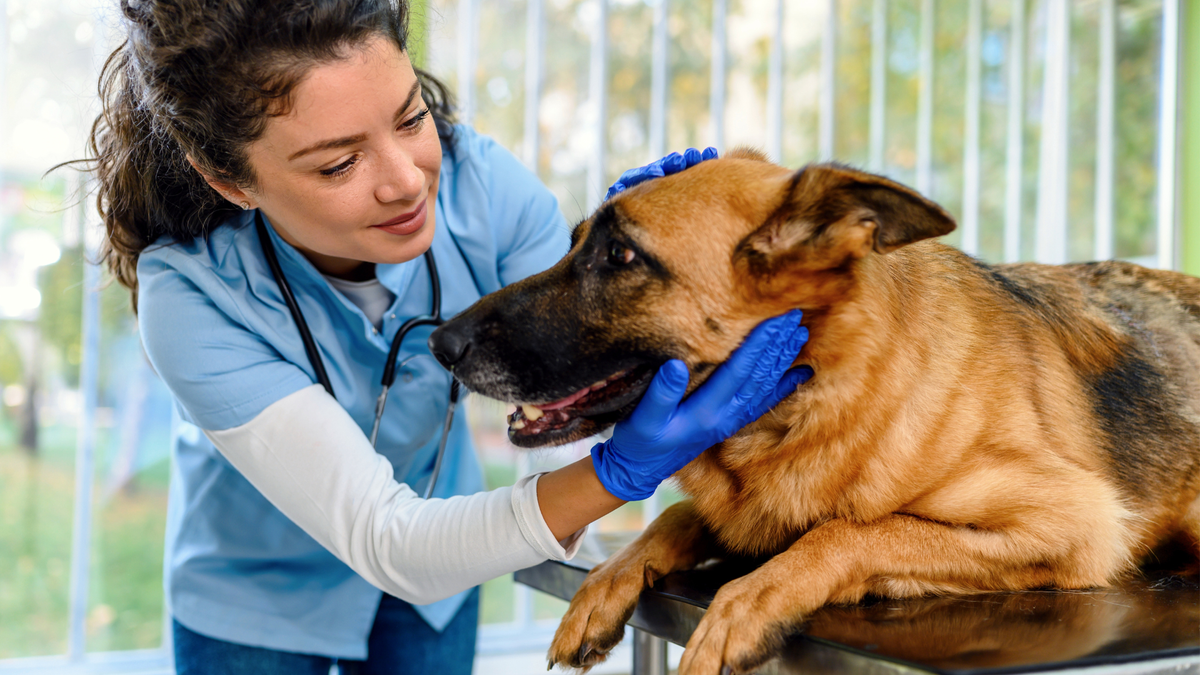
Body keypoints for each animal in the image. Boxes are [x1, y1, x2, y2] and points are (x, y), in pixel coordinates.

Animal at [427, 151, 1195, 672]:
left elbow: (850, 532)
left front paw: (744, 603)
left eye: (620, 255)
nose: (440, 342)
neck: (814, 391)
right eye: (575, 243)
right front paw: (607, 582)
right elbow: (679, 518)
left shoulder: (1073, 524)